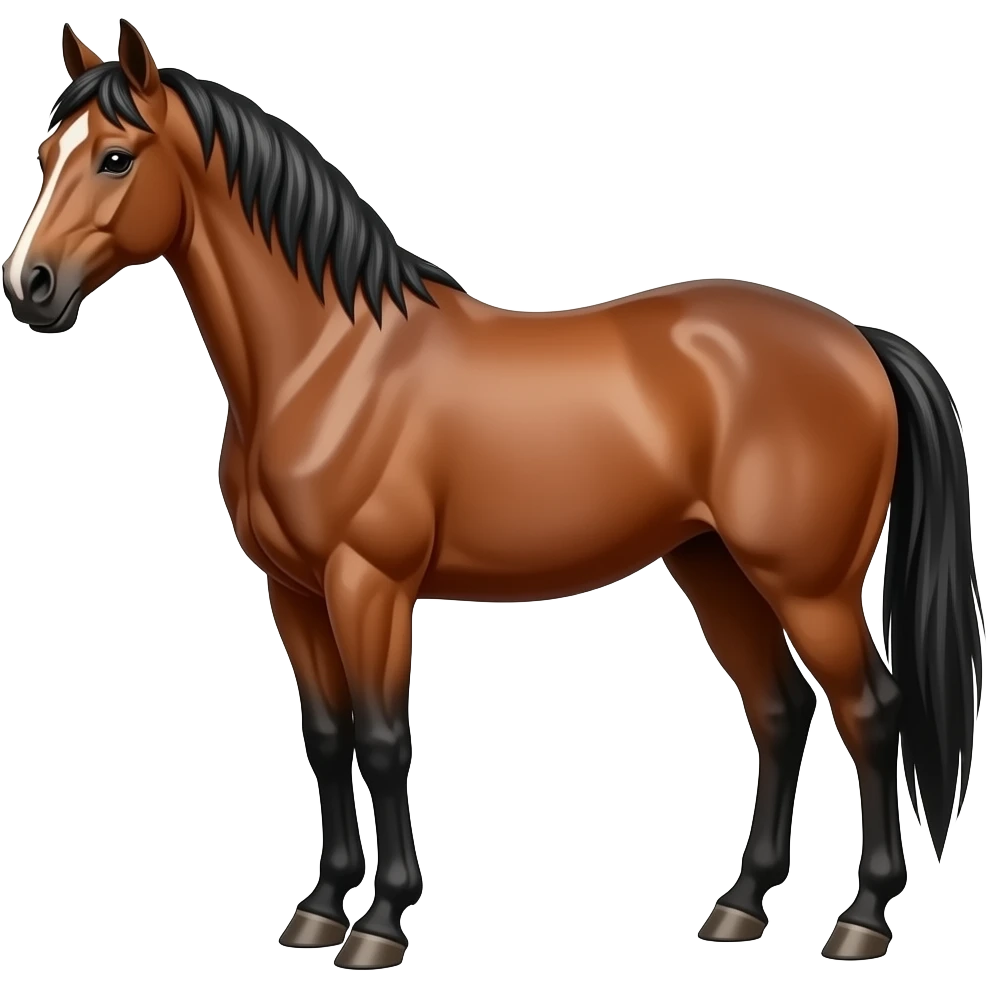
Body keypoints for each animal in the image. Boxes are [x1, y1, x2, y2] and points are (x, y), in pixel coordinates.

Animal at [4, 18, 982, 970]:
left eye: (116, 157)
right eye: (46, 152)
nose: (30, 287)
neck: (326, 361)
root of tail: (856, 340)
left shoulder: (370, 585)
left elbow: (382, 739)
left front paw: (380, 923)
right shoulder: (294, 592)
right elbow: (326, 738)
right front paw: (320, 908)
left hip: (808, 584)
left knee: (871, 712)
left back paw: (861, 918)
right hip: (714, 566)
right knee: (778, 711)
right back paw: (740, 906)